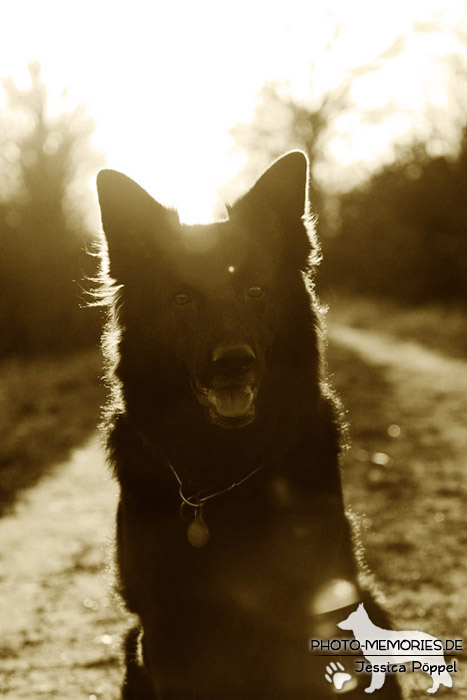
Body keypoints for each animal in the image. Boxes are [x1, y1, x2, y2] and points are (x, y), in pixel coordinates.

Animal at [98, 154, 402, 700]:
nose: (233, 362)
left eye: (255, 290)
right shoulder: (169, 631)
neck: (223, 473)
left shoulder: (309, 617)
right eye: (181, 299)